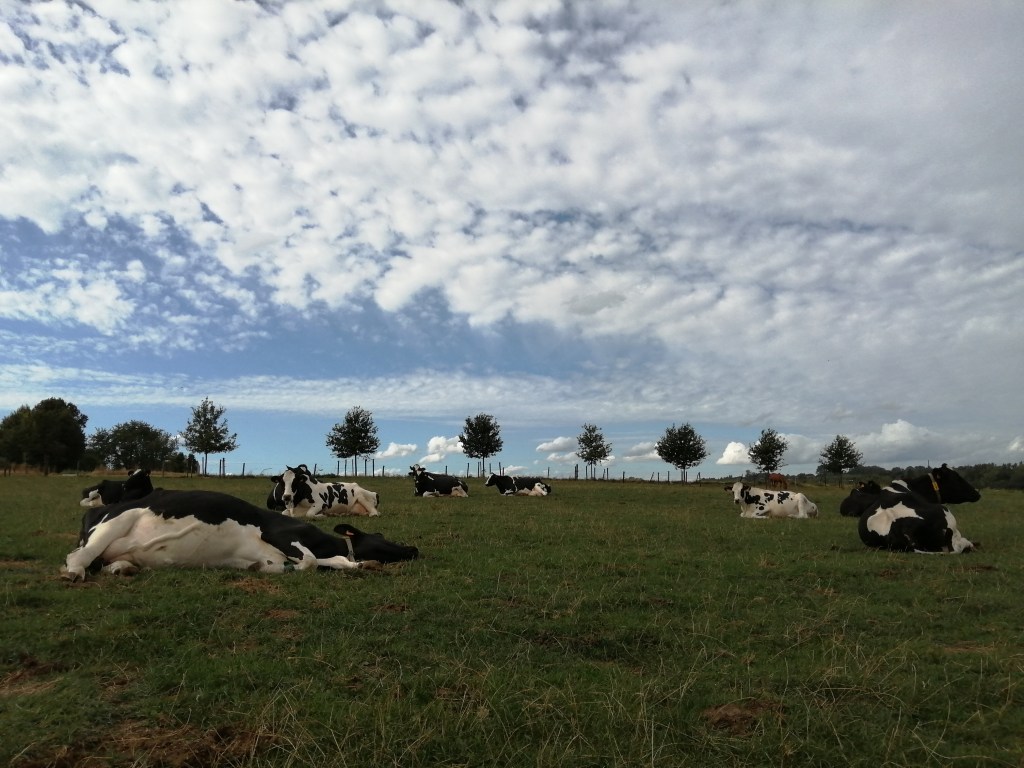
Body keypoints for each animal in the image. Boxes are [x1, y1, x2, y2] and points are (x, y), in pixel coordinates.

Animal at [60, 489, 417, 581]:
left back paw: (122, 568)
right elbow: (311, 562)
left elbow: (336, 562)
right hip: (114, 523)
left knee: (105, 560)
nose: (414, 548)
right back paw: (74, 573)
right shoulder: (282, 534)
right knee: (79, 555)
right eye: (382, 537)